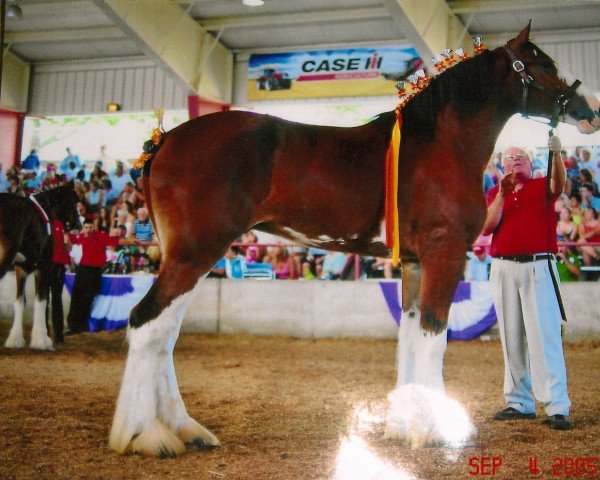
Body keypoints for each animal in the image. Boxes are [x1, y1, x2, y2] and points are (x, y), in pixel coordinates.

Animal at [0, 182, 79, 350]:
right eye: (75, 201)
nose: (78, 225)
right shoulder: (43, 268)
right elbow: (41, 301)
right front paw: (41, 341)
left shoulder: (21, 269)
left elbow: (20, 301)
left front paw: (15, 340)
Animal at [109, 23, 600, 458]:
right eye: (541, 65)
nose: (588, 110)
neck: (440, 144)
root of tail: (165, 139)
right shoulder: (444, 253)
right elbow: (433, 335)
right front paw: (434, 432)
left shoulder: (415, 262)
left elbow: (410, 336)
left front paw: (403, 426)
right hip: (195, 252)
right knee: (147, 324)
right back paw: (146, 436)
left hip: (187, 256)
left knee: (163, 333)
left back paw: (183, 429)